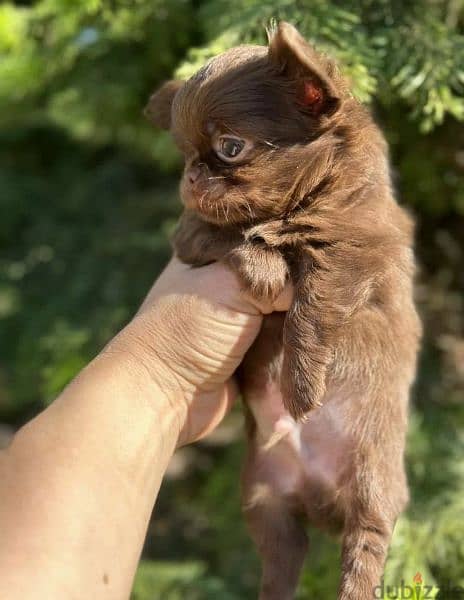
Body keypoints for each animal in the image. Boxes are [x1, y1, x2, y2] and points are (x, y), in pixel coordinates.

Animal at [147, 22, 422, 600]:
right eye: (184, 154)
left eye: (230, 148)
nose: (191, 175)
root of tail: (317, 498)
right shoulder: (196, 237)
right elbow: (220, 234)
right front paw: (263, 264)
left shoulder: (354, 254)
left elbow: (311, 313)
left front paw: (300, 389)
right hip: (268, 506)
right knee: (280, 567)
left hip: (372, 484)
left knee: (365, 549)